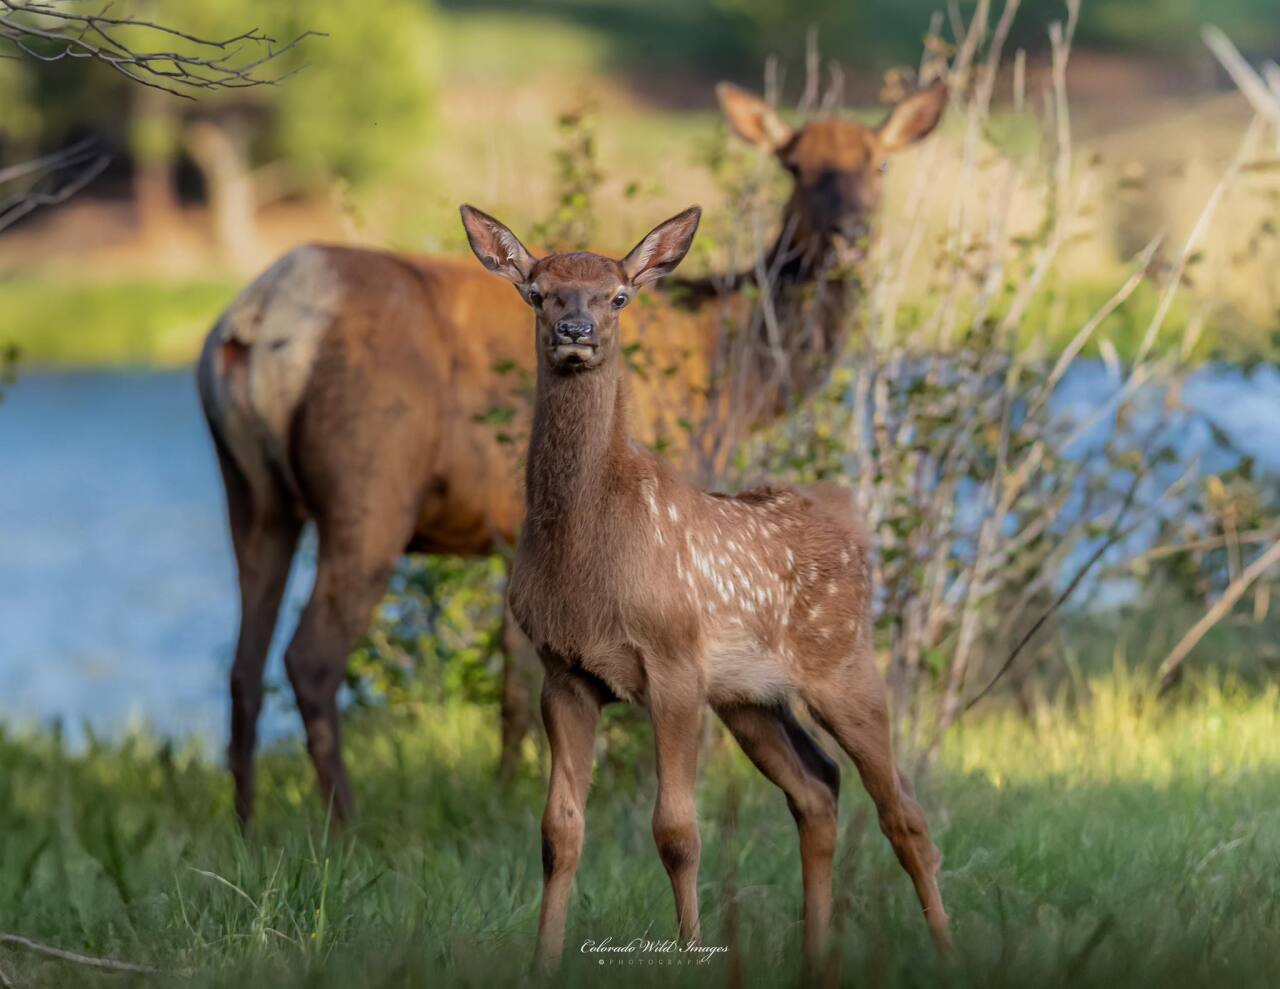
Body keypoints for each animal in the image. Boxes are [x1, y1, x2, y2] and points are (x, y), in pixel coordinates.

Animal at [196, 81, 947, 828]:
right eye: (795, 165)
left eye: (879, 163)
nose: (849, 234)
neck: (736, 378)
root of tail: (256, 320)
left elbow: (516, 673)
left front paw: (506, 785)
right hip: (369, 484)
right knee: (310, 657)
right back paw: (344, 822)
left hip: (252, 495)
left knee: (242, 664)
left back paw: (247, 823)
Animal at [457, 202, 952, 971]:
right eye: (537, 292)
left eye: (618, 295)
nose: (577, 331)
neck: (587, 556)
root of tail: (851, 521)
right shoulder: (564, 671)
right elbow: (558, 831)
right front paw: (542, 963)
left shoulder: (673, 663)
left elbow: (677, 833)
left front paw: (690, 953)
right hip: (751, 697)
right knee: (818, 787)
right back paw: (815, 960)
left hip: (845, 664)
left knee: (905, 812)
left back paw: (946, 949)